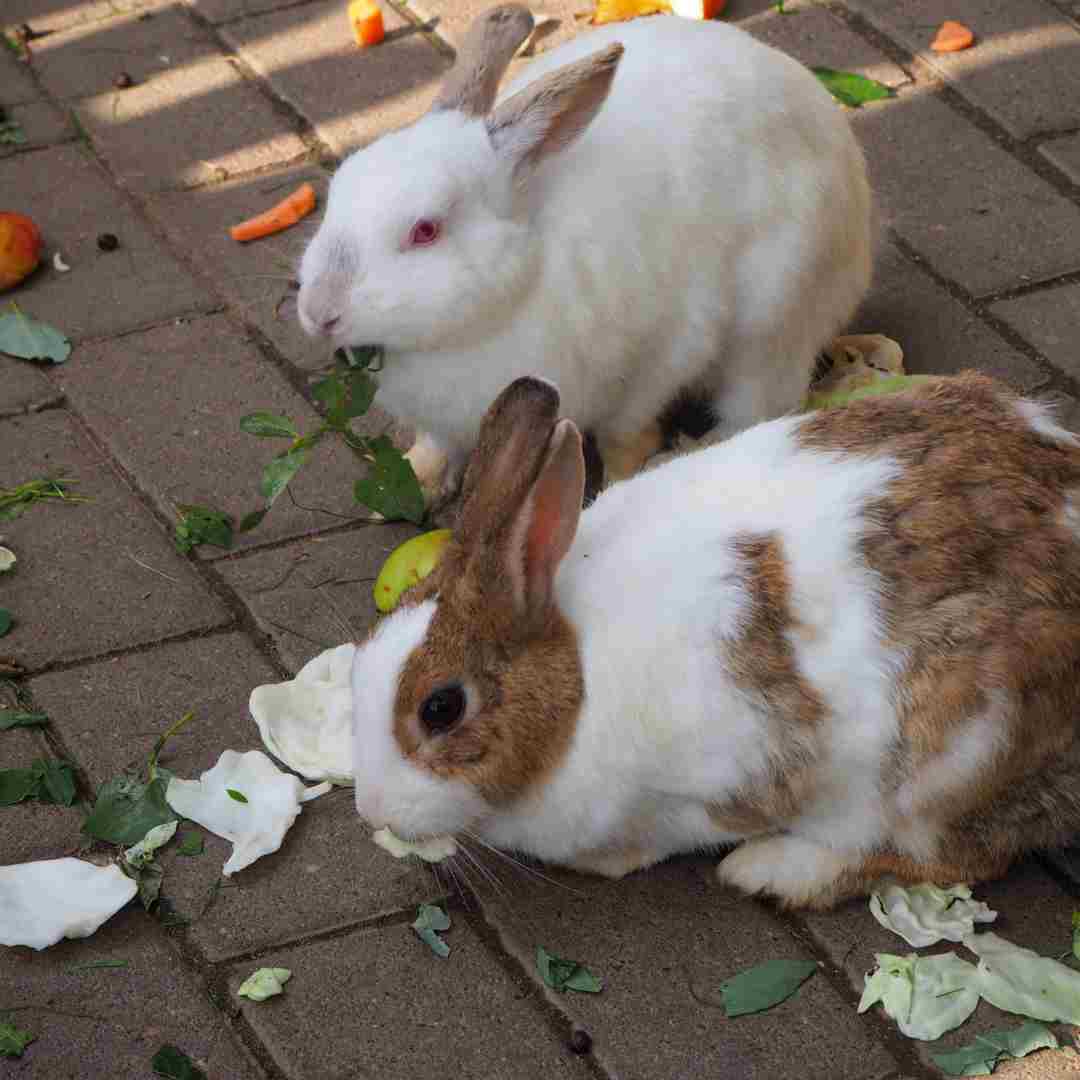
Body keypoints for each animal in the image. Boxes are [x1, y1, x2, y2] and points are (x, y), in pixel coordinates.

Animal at [297, 4, 873, 506]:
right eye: (338, 191)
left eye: (425, 230)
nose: (318, 313)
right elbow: (437, 447)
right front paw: (418, 481)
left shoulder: (667, 350)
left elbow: (626, 433)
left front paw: (621, 481)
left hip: (773, 322)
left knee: (757, 406)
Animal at [349, 373, 1080, 910]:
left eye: (441, 708)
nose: (370, 808)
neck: (576, 686)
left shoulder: (725, 779)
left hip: (957, 754)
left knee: (953, 857)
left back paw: (774, 871)